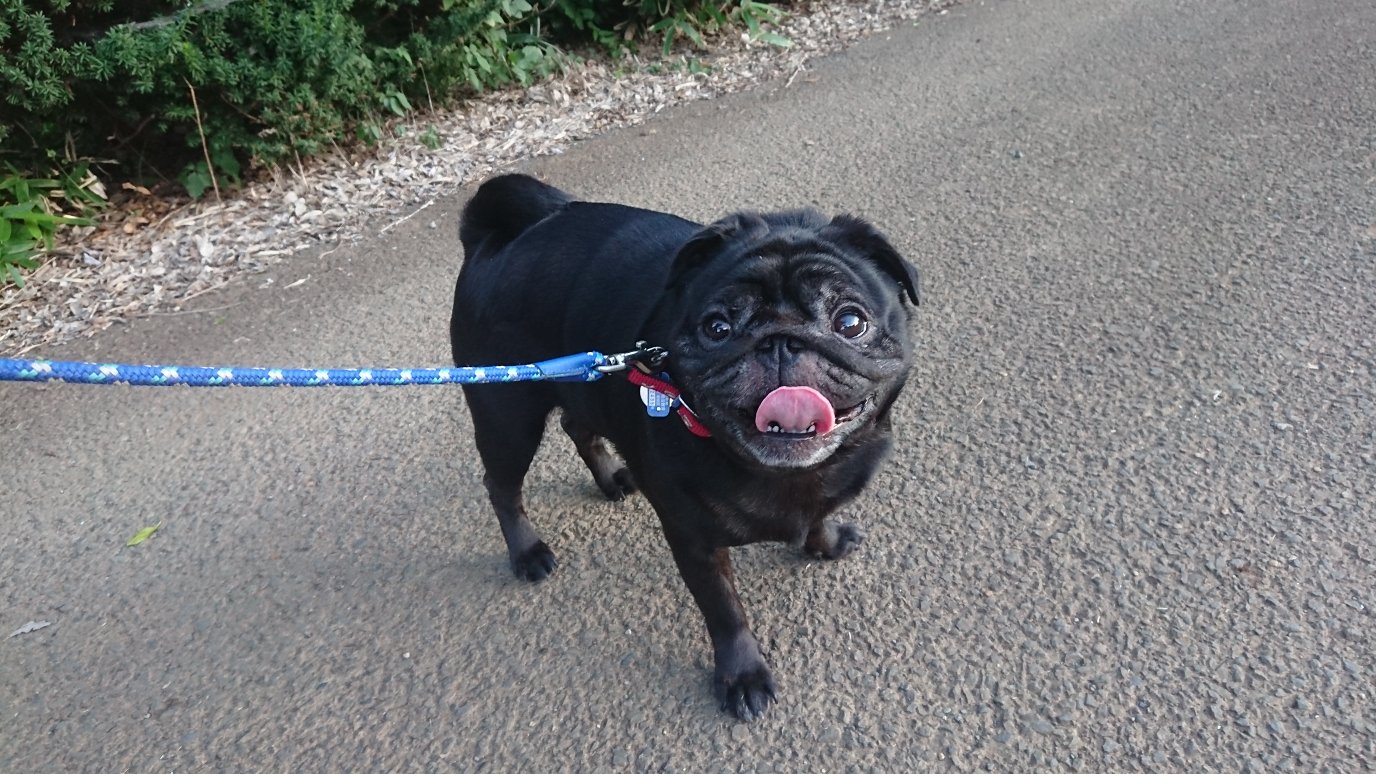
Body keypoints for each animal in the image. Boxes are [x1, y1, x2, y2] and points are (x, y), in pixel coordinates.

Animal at [450, 174, 919, 720]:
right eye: (717, 328)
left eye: (850, 323)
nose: (780, 341)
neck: (787, 474)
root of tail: (500, 234)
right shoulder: (695, 542)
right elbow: (725, 611)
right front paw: (742, 676)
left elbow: (818, 516)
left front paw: (824, 543)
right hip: (508, 414)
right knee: (502, 486)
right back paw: (527, 552)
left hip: (581, 382)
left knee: (576, 424)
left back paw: (611, 478)